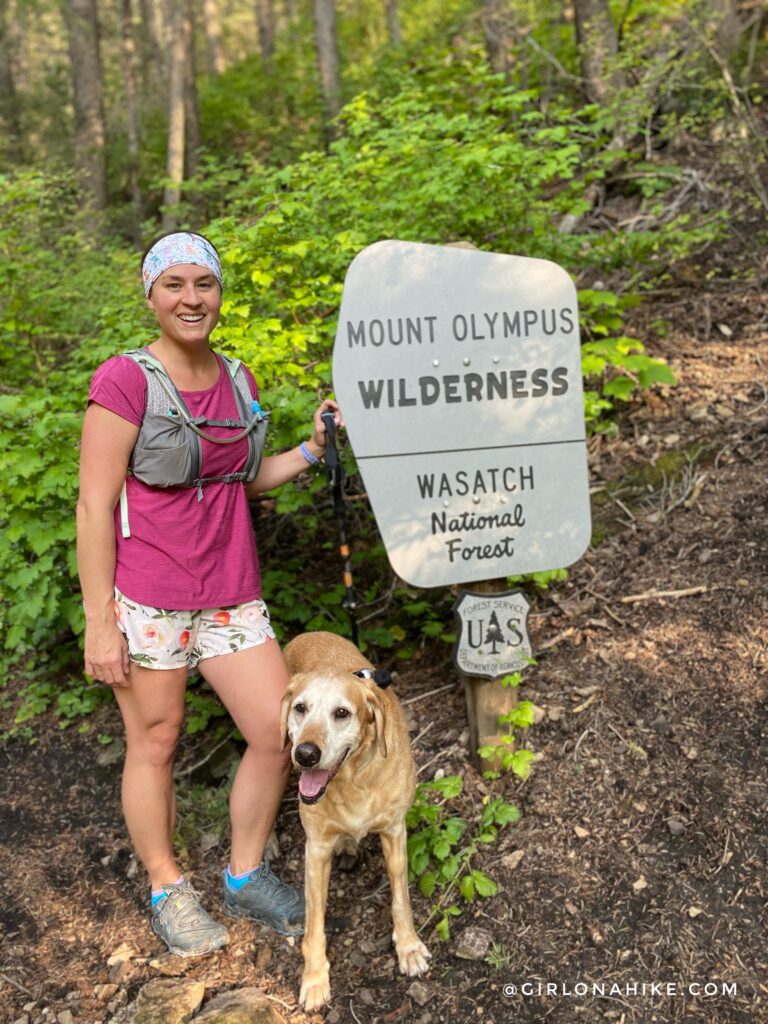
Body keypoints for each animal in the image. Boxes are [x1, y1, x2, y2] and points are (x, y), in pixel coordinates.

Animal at [280, 626, 430, 1011]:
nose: (306, 754)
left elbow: (401, 899)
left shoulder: (394, 833)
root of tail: (310, 631)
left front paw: (408, 947)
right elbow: (314, 925)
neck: (352, 780)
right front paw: (314, 979)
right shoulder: (315, 850)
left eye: (342, 713)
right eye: (301, 708)